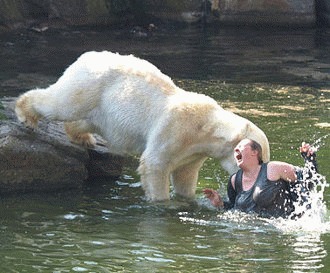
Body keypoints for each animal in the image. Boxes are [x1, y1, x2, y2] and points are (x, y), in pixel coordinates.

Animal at [14, 50, 270, 200]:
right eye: (260, 158)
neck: (205, 128)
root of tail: (86, 56)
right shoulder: (175, 129)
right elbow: (155, 164)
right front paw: (162, 203)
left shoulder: (193, 153)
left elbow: (185, 175)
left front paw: (188, 200)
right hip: (90, 84)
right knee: (62, 103)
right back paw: (26, 114)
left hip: (103, 107)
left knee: (87, 120)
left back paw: (83, 137)